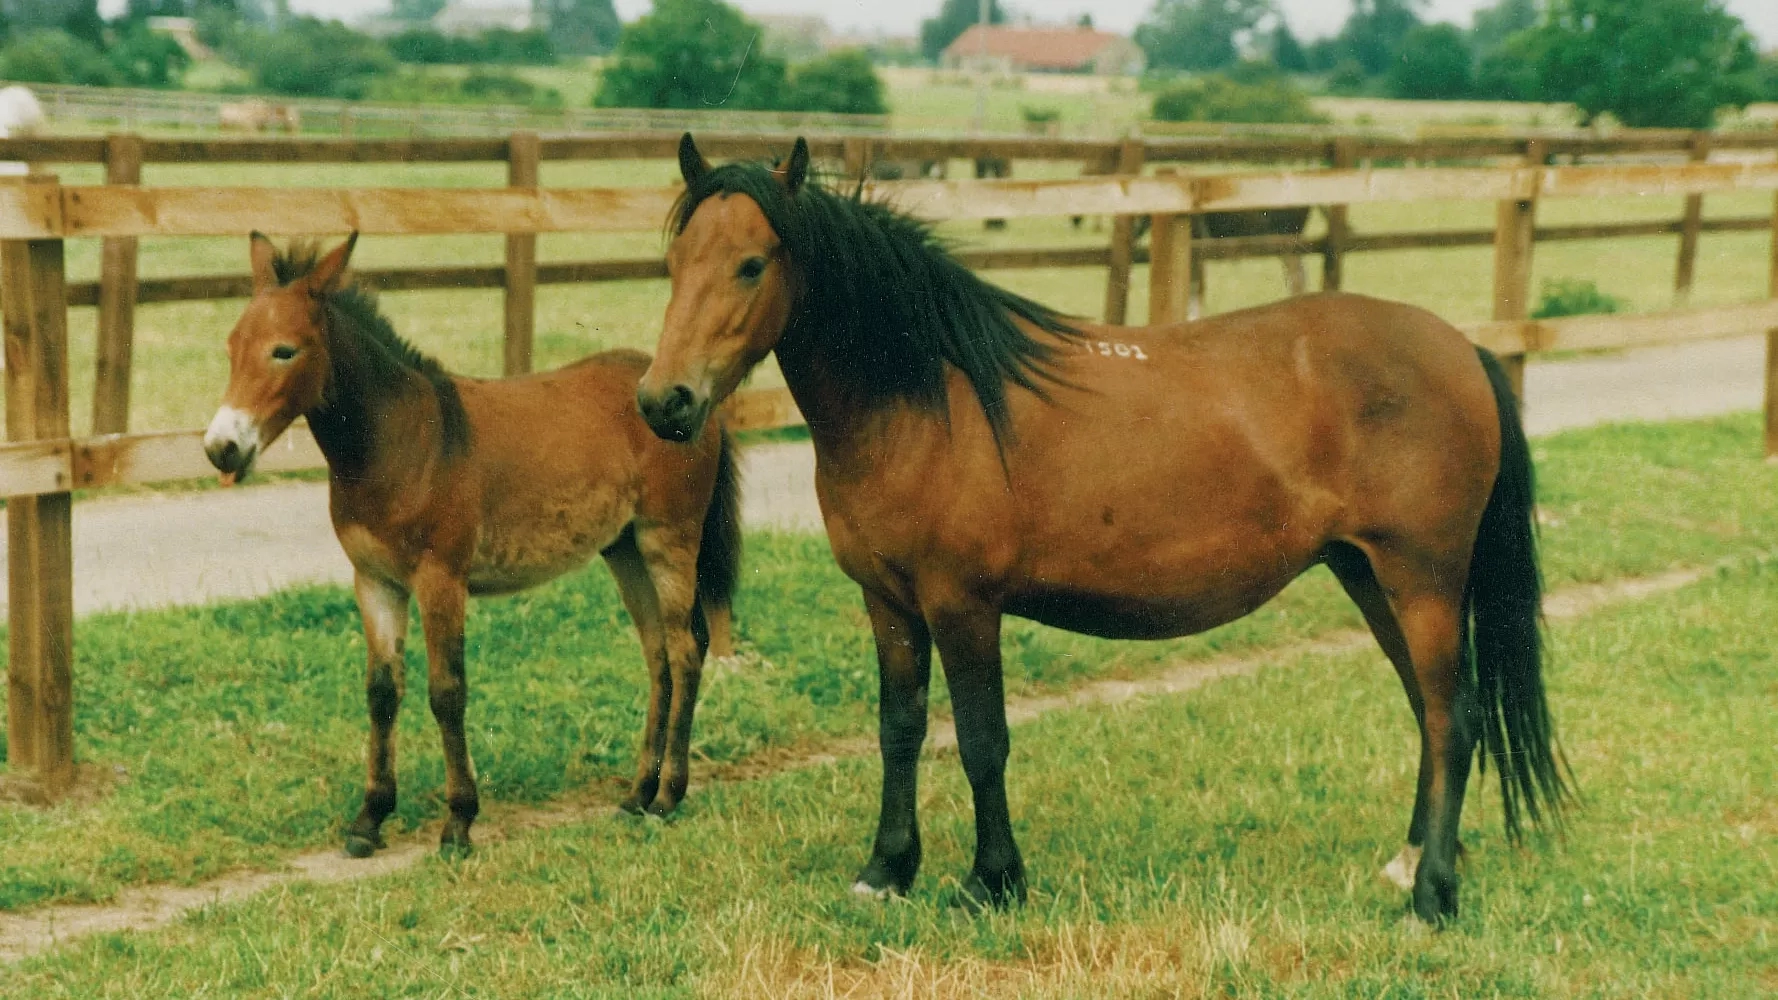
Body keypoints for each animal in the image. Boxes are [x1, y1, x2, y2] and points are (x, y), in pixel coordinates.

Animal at [204, 229, 739, 854]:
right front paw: (369, 818)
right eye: (231, 345)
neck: (405, 444)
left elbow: (446, 692)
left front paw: (459, 821)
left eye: (284, 351)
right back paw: (637, 793)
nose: (221, 449)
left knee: (685, 651)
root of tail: (688, 400)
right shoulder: (375, 581)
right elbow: (382, 692)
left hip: (668, 539)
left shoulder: (441, 579)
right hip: (624, 549)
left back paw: (668, 795)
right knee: (657, 655)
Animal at [632, 136, 1564, 925]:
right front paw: (886, 871)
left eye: (752, 265)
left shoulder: (963, 605)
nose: (664, 401)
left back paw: (1432, 898)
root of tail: (1463, 349)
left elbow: (981, 741)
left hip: (1423, 582)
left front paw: (992, 882)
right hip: (1369, 575)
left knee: (1452, 719)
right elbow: (899, 730)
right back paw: (1411, 866)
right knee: (1429, 713)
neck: (929, 400)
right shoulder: (888, 603)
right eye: (672, 264)